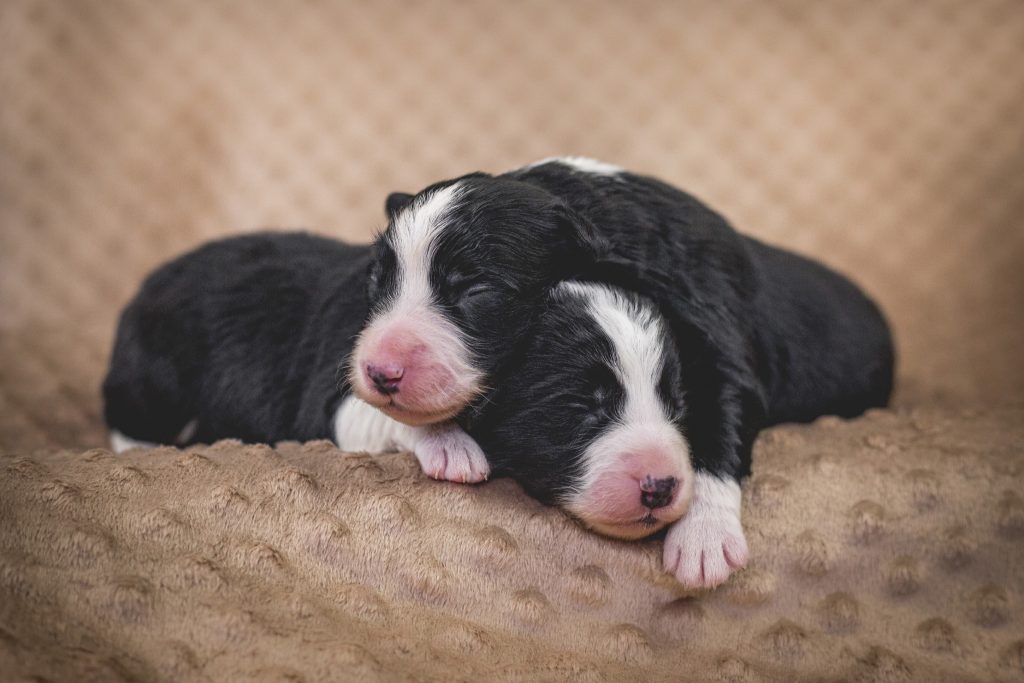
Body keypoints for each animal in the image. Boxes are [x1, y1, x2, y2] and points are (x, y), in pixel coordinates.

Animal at [103, 233, 724, 581]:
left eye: (676, 400)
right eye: (581, 405)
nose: (663, 486)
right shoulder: (332, 394)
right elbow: (390, 412)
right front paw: (449, 444)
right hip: (153, 372)